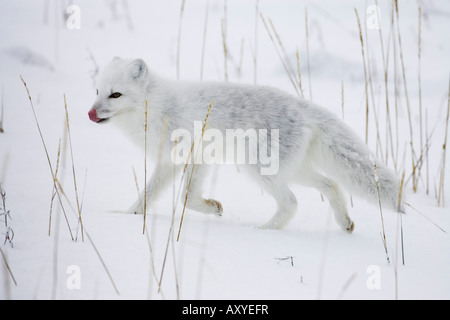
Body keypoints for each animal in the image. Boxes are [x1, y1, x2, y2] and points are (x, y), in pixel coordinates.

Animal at [88, 57, 404, 232]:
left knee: (291, 202)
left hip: (259, 169)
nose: (90, 113)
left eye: (116, 95)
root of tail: (301, 106)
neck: (158, 108)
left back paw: (263, 231)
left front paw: (214, 208)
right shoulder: (168, 162)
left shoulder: (198, 154)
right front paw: (126, 216)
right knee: (332, 185)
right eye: (97, 91)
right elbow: (146, 196)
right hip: (294, 170)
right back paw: (344, 223)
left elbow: (186, 199)